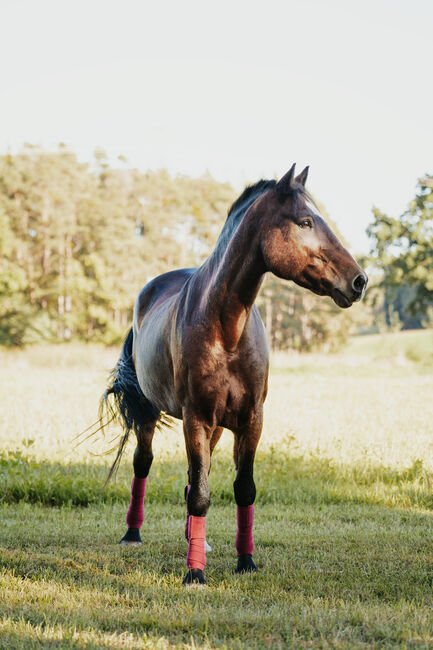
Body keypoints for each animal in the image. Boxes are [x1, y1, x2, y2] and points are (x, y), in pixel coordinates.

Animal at [100, 161, 364, 584]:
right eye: (306, 221)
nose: (359, 280)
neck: (227, 327)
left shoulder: (250, 420)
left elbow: (243, 489)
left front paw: (245, 561)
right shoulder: (196, 417)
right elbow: (202, 494)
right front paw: (195, 573)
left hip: (218, 427)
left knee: (194, 476)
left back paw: (198, 541)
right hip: (154, 413)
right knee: (144, 463)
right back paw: (133, 534)